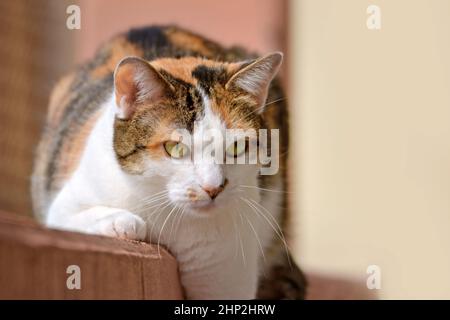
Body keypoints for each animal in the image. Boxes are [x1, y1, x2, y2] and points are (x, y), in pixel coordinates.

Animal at [30, 25, 306, 300]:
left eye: (237, 147)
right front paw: (122, 222)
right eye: (175, 147)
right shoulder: (66, 203)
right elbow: (77, 216)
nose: (213, 188)